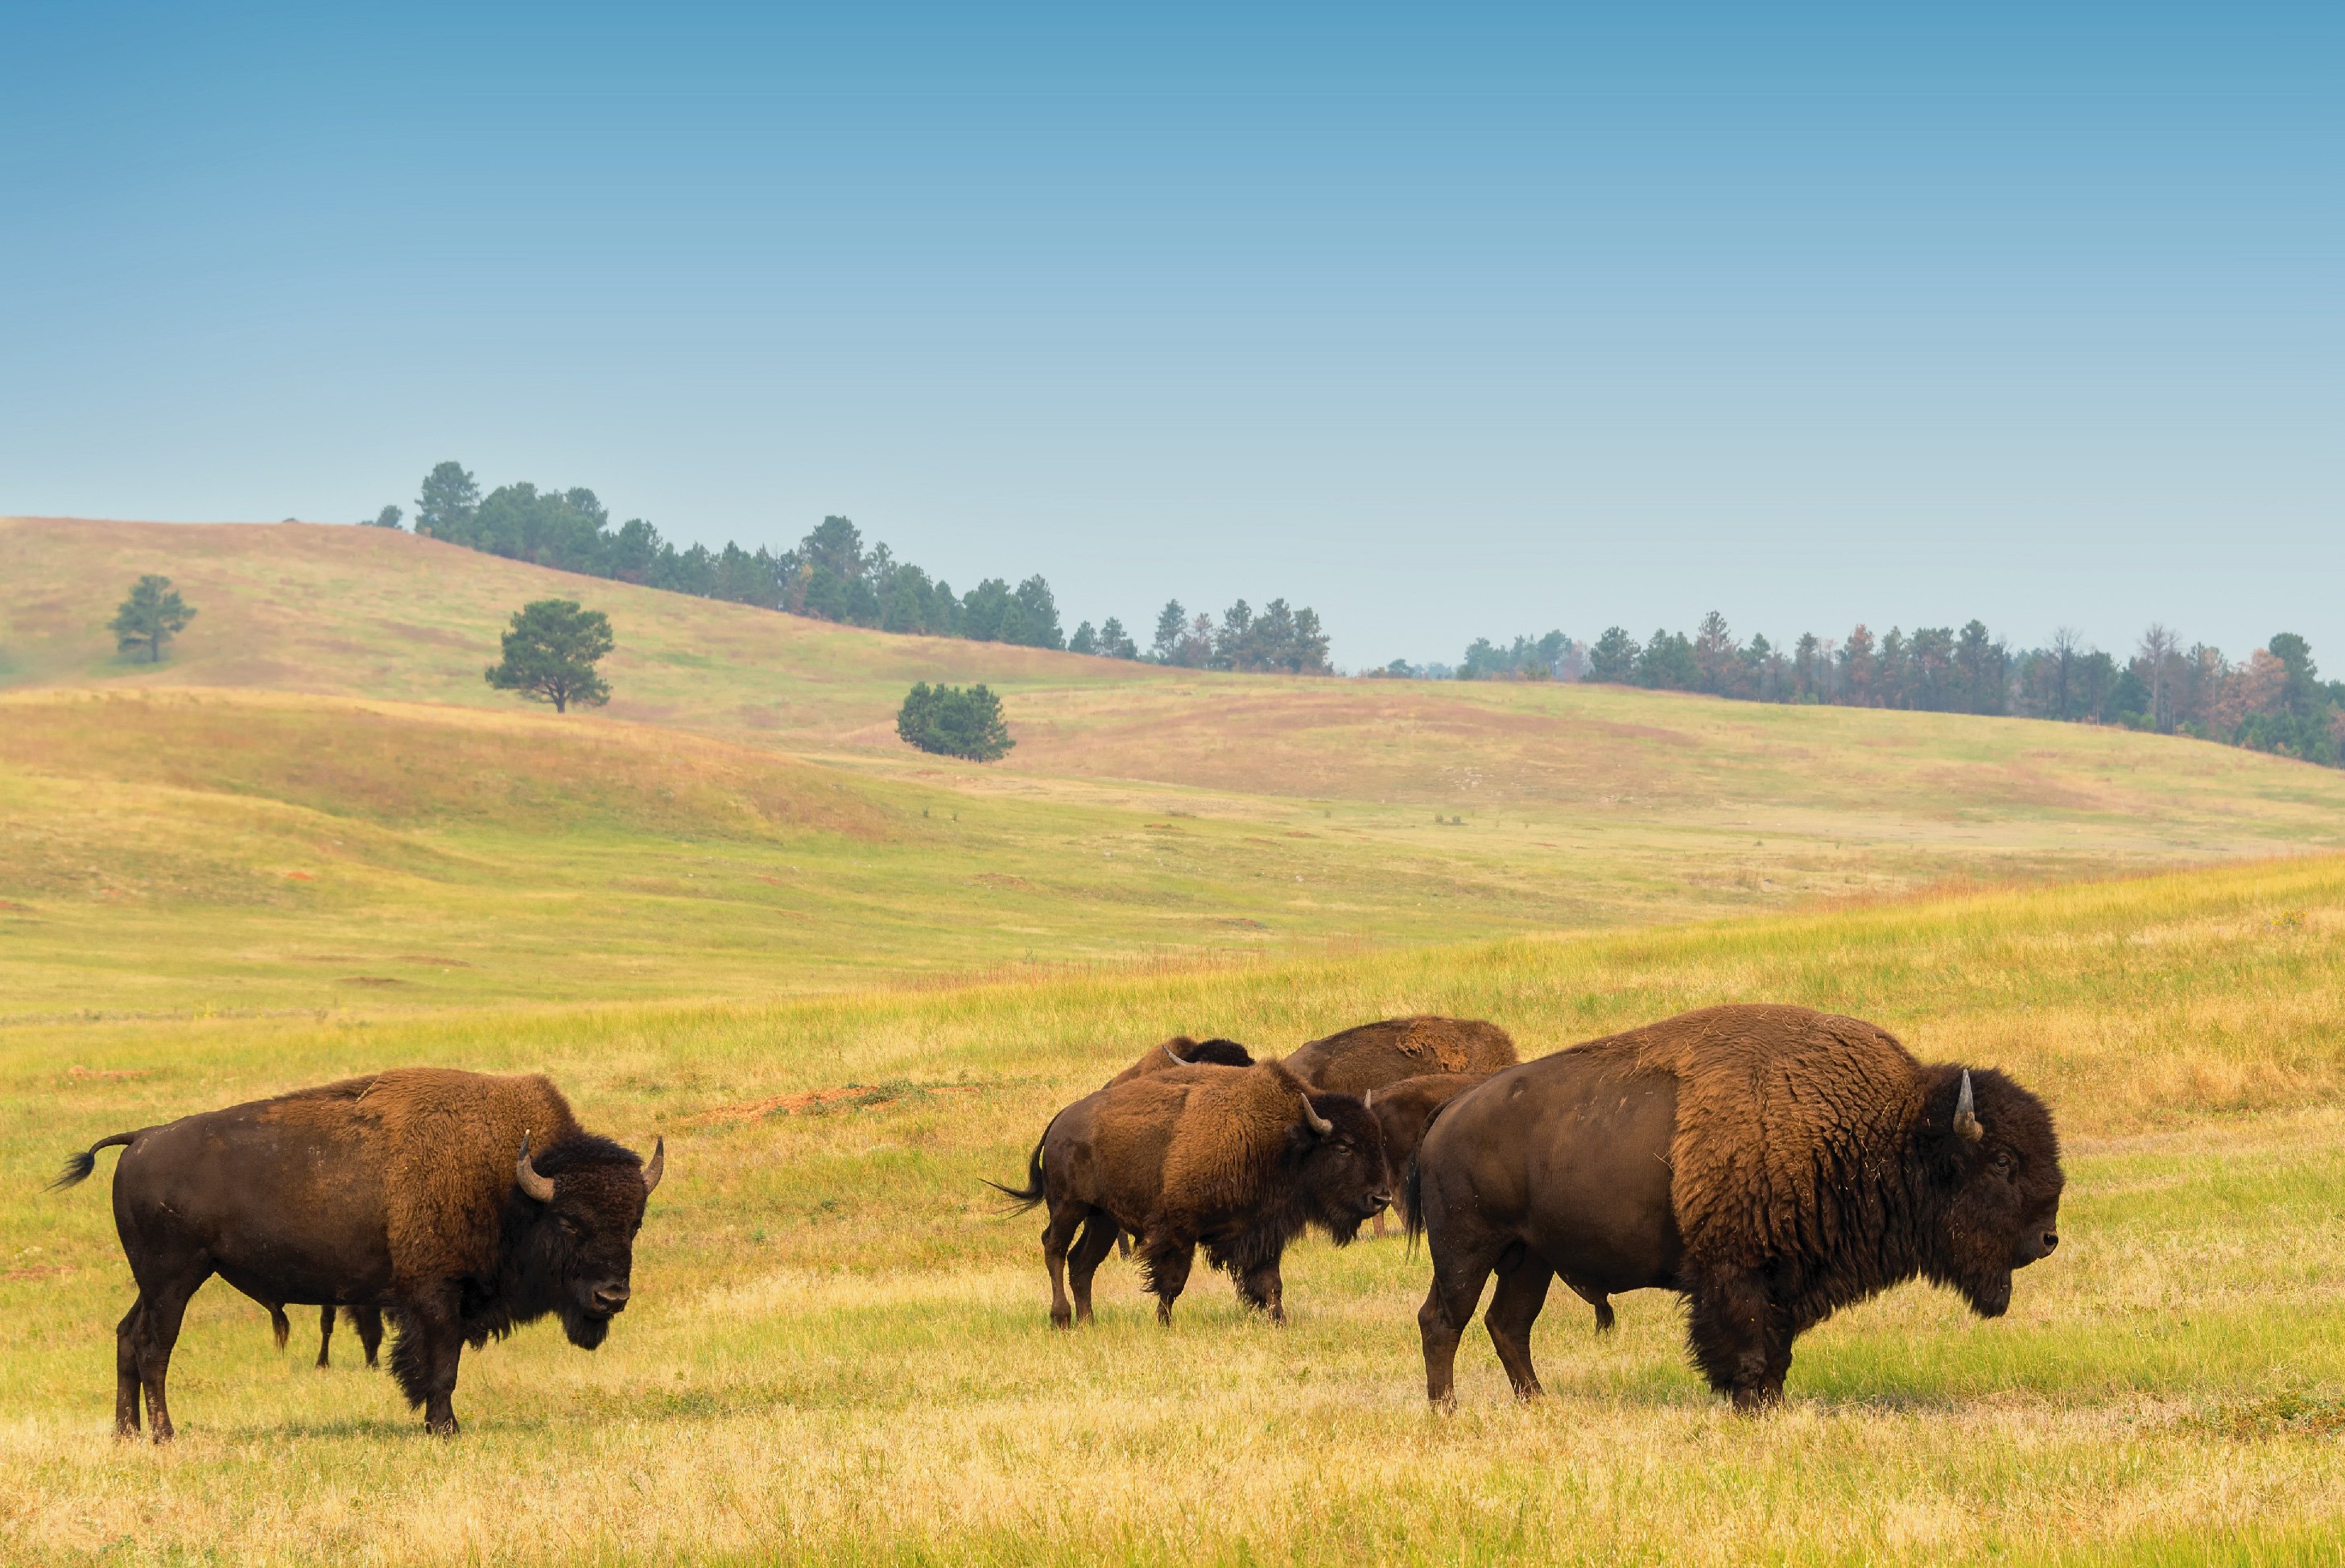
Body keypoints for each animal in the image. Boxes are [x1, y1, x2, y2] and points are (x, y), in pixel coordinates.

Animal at [47, 1068, 671, 1434]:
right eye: (568, 1220)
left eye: (635, 1222)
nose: (611, 1296)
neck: (511, 1184)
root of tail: (142, 1138)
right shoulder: (436, 1295)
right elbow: (442, 1368)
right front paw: (444, 1429)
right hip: (174, 1280)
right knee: (154, 1347)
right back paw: (163, 1434)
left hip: (153, 1283)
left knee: (127, 1337)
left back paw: (126, 1433)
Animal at [989, 1059, 1388, 1331]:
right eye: (1343, 1148)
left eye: (1378, 1141)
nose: (1380, 1199)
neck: (1283, 1139)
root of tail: (1060, 1121)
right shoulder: (1178, 1231)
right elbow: (1172, 1282)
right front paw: (1163, 1324)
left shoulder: (1261, 1231)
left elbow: (1271, 1283)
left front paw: (1279, 1322)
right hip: (1068, 1206)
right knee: (1054, 1249)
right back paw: (1061, 1318)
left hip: (1102, 1218)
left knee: (1081, 1262)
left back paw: (1089, 1321)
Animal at [1398, 1008, 2063, 1415]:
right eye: (2001, 1160)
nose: (2047, 1239)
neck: (1881, 1128)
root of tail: (1449, 1111)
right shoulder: (1734, 1273)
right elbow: (1745, 1347)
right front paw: (1750, 1407)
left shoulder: (1785, 1278)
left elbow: (1777, 1350)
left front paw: (1771, 1404)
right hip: (1466, 1247)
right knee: (1443, 1320)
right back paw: (1446, 1411)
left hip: (1529, 1256)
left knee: (1507, 1324)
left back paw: (1538, 1405)